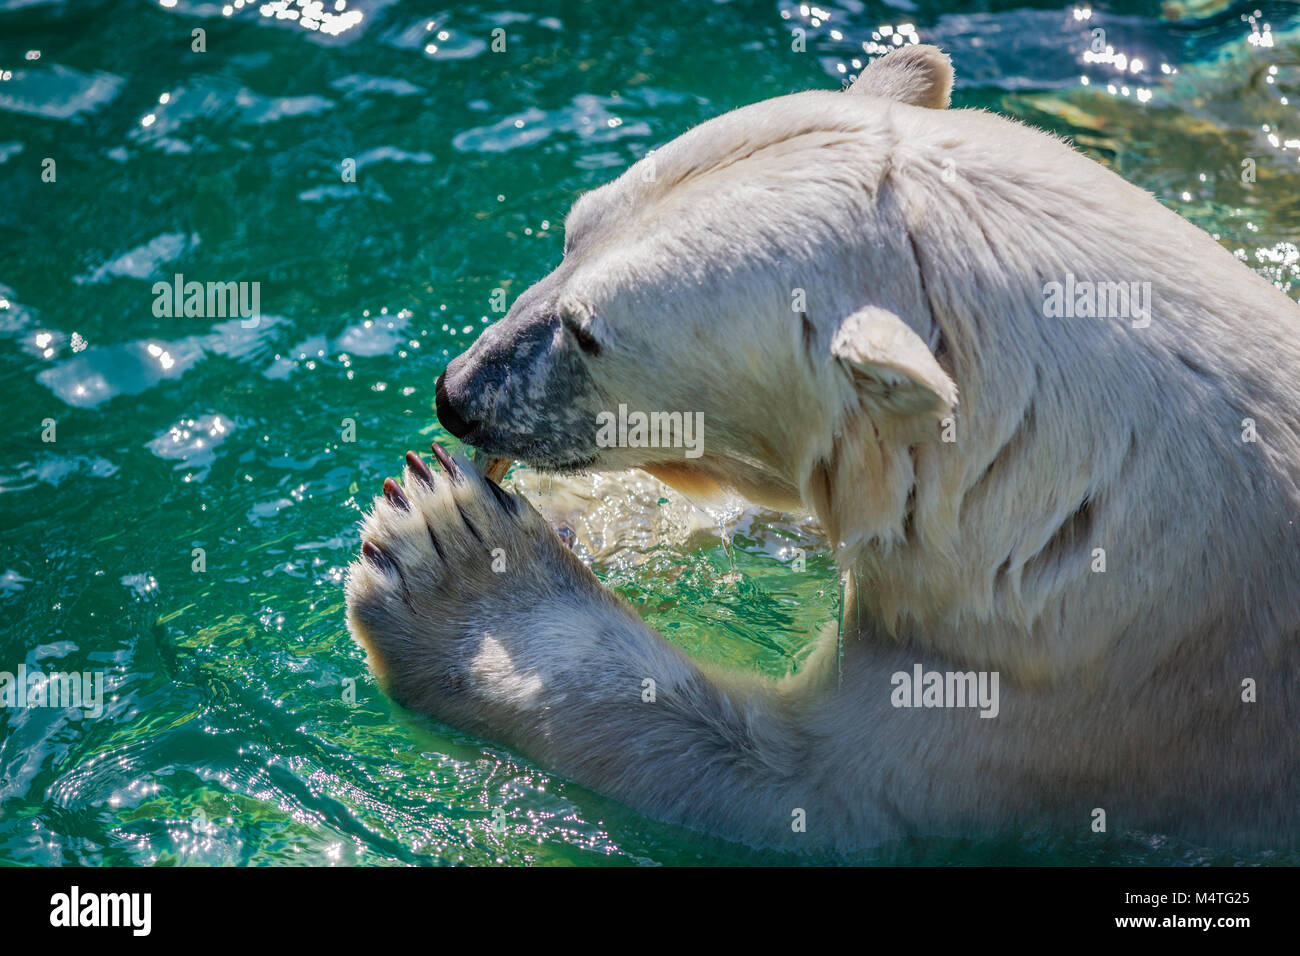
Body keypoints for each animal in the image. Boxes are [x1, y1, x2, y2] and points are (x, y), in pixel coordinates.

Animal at [345, 44, 1300, 854]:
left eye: (588, 333)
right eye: (571, 230)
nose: (457, 394)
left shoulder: (1057, 704)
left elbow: (790, 787)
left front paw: (453, 557)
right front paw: (570, 514)